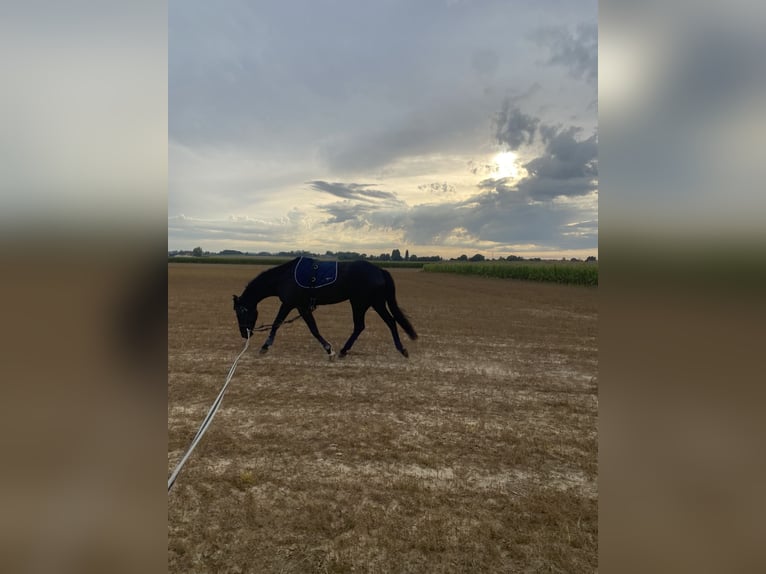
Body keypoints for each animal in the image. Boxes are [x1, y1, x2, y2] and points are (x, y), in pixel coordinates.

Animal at [232, 257, 418, 358]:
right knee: (385, 323)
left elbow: (282, 324)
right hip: (371, 303)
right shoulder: (299, 306)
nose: (244, 333)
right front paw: (329, 349)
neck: (284, 277)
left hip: (363, 303)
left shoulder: (292, 304)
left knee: (368, 325)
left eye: (241, 311)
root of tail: (379, 270)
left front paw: (264, 347)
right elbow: (310, 327)